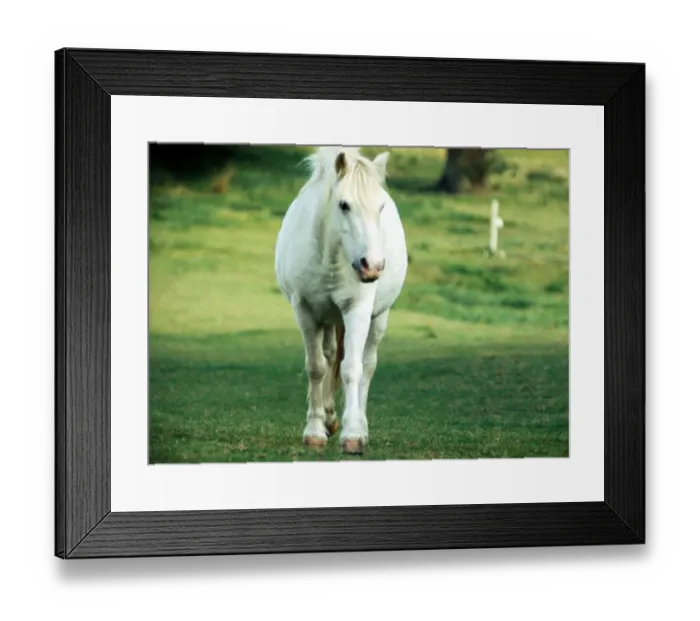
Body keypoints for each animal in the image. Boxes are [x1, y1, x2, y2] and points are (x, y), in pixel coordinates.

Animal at [274, 146, 408, 455]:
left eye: (381, 207)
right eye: (344, 205)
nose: (372, 265)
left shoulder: (357, 309)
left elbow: (352, 369)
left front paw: (354, 435)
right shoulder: (306, 312)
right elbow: (316, 368)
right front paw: (314, 430)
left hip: (377, 318)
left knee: (367, 365)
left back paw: (359, 425)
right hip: (327, 319)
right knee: (329, 355)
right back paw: (328, 418)